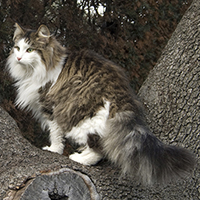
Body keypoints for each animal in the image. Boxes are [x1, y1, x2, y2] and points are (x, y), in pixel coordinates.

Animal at [6, 23, 195, 184]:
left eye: (30, 49)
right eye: (17, 48)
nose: (19, 57)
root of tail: (122, 96)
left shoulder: (50, 106)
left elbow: (55, 133)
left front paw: (54, 149)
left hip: (82, 119)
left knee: (100, 148)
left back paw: (80, 158)